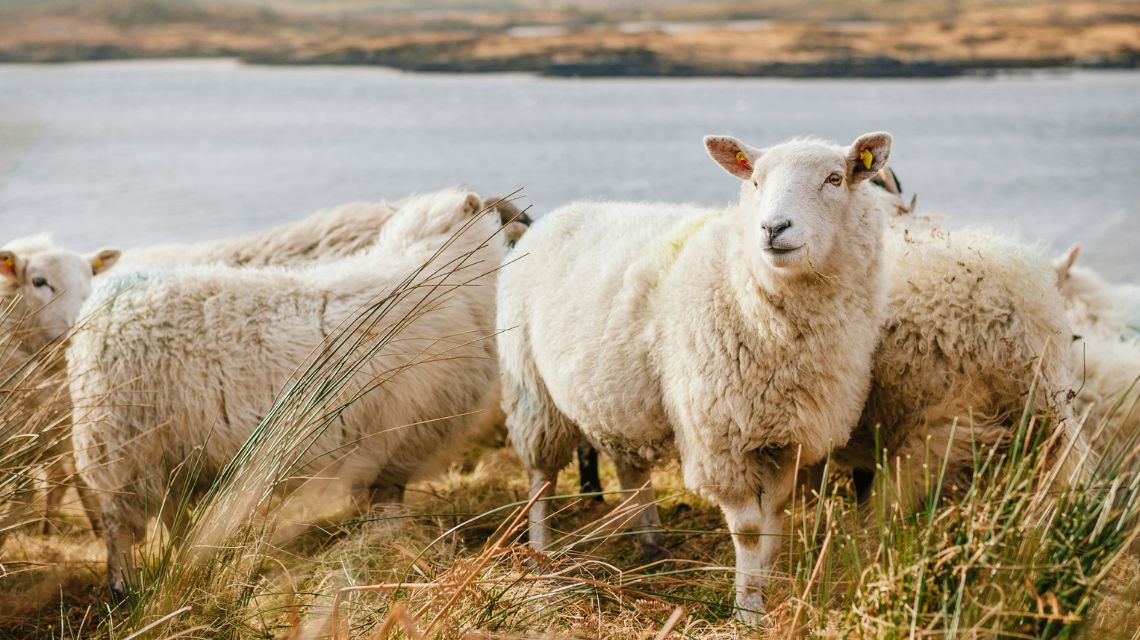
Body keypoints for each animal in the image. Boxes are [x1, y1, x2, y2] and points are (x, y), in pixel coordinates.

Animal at [68, 188, 509, 593]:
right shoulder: (397, 441)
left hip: (165, 454)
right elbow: (387, 504)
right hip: (121, 446)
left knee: (171, 516)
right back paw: (124, 587)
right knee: (118, 528)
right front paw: (389, 544)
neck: (440, 270)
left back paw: (184, 565)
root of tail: (100, 308)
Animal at [498, 132, 895, 624]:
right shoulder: (719, 437)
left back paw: (652, 545)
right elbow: (749, 530)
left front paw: (764, 585)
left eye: (835, 178)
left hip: (619, 397)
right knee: (541, 477)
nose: (773, 228)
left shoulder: (788, 437)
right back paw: (542, 556)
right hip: (531, 390)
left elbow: (774, 519)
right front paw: (747, 610)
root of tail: (553, 217)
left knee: (631, 469)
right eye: (755, 180)